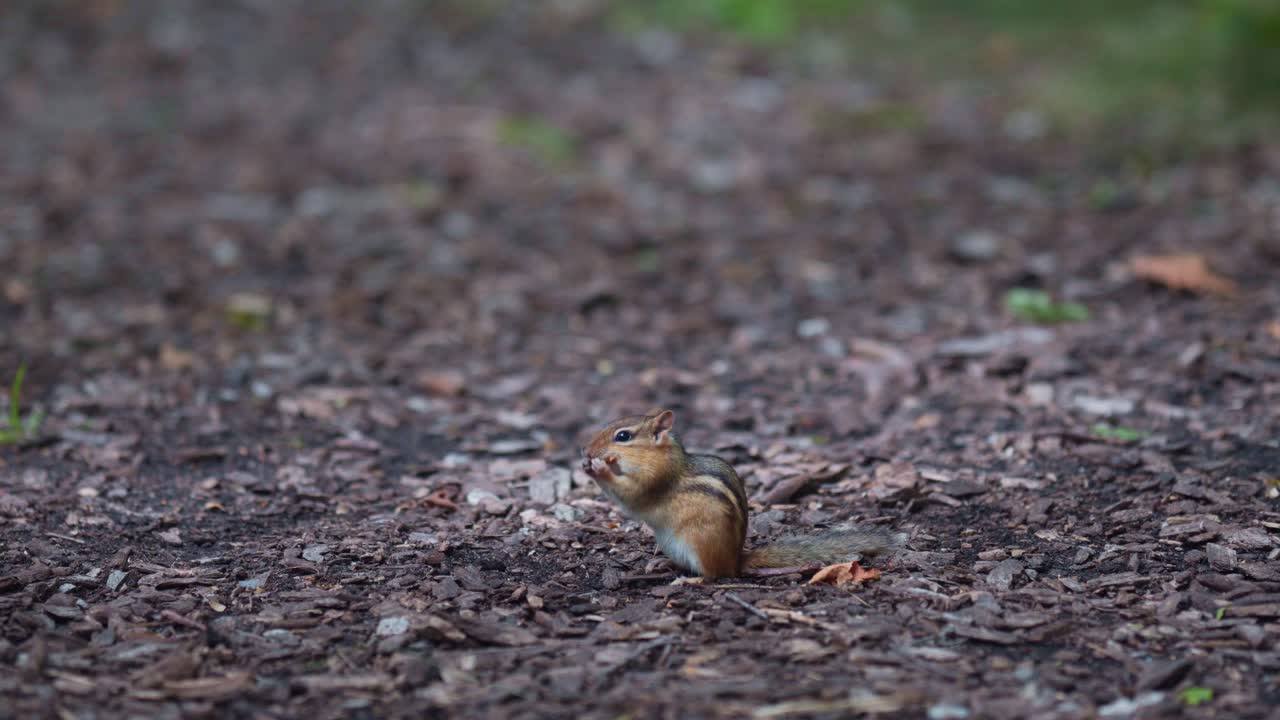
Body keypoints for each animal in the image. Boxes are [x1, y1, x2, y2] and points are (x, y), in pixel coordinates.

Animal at [581, 408, 904, 579]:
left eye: (623, 436)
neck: (665, 457)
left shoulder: (654, 480)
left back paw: (689, 582)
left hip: (699, 542)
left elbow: (632, 496)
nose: (587, 450)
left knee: (713, 576)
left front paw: (599, 468)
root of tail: (735, 559)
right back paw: (663, 563)